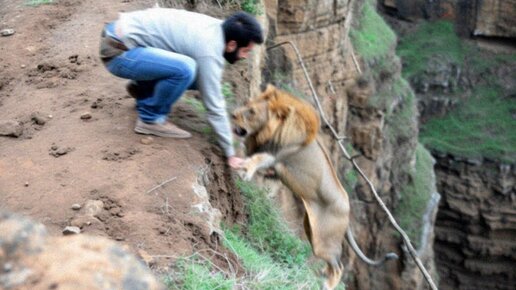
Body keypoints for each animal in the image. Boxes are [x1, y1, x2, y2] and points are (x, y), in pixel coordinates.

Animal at [232, 85, 398, 288]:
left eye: (252, 112)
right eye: (247, 104)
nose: (232, 114)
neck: (268, 131)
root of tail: (348, 213)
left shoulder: (275, 156)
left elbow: (257, 159)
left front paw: (245, 170)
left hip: (324, 242)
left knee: (339, 266)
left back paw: (327, 285)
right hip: (311, 230)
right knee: (332, 264)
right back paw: (323, 274)